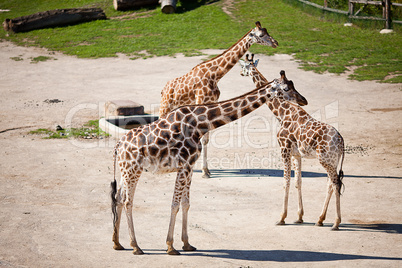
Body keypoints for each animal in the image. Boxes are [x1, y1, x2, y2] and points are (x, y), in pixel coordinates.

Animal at [110, 81, 304, 255]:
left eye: (293, 85)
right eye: (286, 88)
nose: (304, 100)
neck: (200, 124)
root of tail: (118, 146)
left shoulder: (189, 166)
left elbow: (186, 204)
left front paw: (187, 244)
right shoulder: (184, 166)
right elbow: (175, 204)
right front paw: (171, 246)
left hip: (125, 170)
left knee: (118, 198)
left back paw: (117, 243)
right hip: (132, 170)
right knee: (127, 201)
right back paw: (136, 246)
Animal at [159, 21, 278, 178]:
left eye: (267, 31)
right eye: (261, 35)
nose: (275, 42)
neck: (215, 74)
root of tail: (163, 90)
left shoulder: (211, 103)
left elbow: (206, 139)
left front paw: (206, 170)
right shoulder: (201, 101)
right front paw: (203, 171)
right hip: (165, 106)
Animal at [239, 55, 346, 230]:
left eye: (245, 66)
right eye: (288, 87)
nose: (304, 100)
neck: (282, 113)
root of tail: (341, 141)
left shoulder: (284, 149)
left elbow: (286, 182)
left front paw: (281, 218)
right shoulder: (297, 154)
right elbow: (298, 182)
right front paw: (299, 217)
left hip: (325, 159)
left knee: (336, 183)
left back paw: (336, 223)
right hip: (333, 160)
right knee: (331, 183)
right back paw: (320, 219)